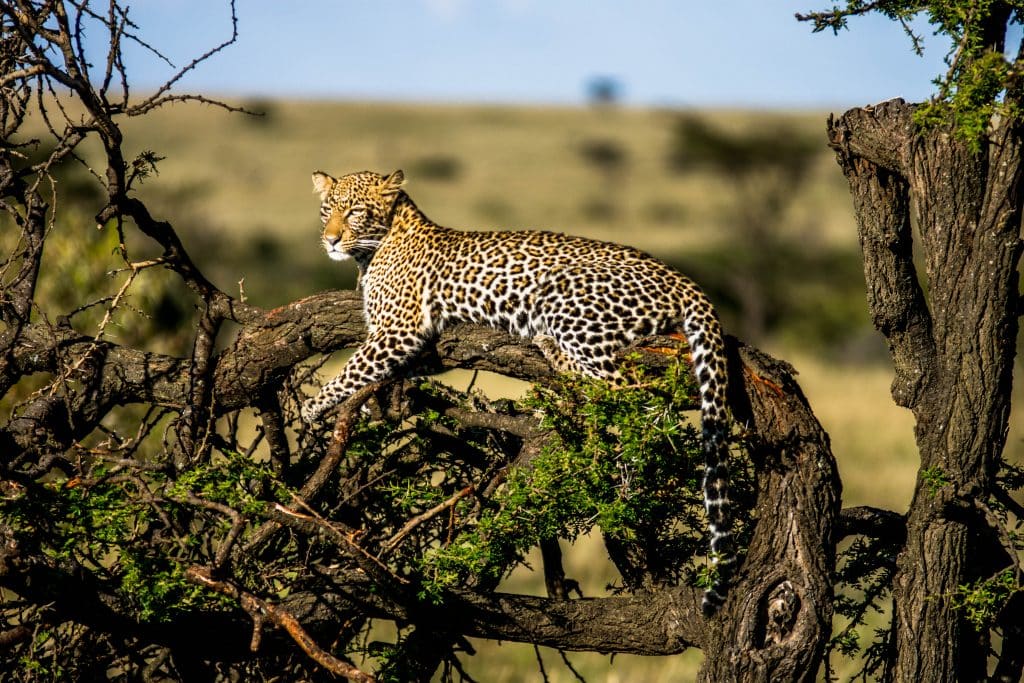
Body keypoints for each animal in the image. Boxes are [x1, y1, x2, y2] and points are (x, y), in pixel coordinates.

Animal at [301, 169, 737, 614]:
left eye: (355, 212)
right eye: (326, 209)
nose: (331, 240)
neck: (379, 244)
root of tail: (682, 278)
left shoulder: (398, 331)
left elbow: (352, 368)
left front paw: (313, 407)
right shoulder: (411, 344)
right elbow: (376, 374)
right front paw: (365, 406)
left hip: (565, 295)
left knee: (625, 387)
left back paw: (551, 366)